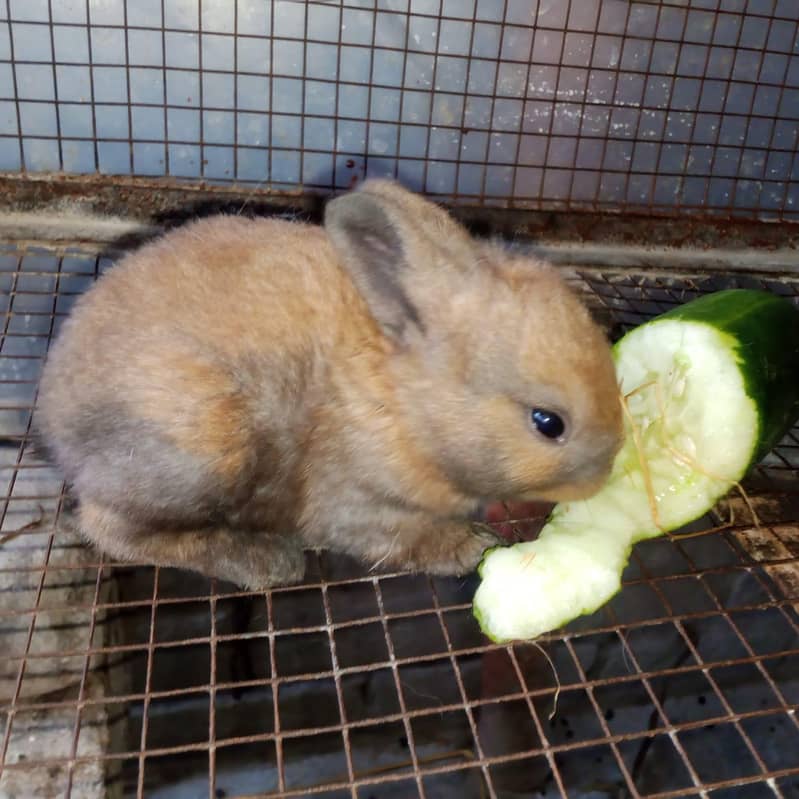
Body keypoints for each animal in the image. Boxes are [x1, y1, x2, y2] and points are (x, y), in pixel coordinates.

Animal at [35, 179, 622, 589]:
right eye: (548, 423)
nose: (603, 474)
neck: (406, 401)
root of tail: (54, 414)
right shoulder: (353, 500)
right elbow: (393, 536)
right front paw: (468, 547)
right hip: (206, 446)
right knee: (108, 527)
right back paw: (264, 561)